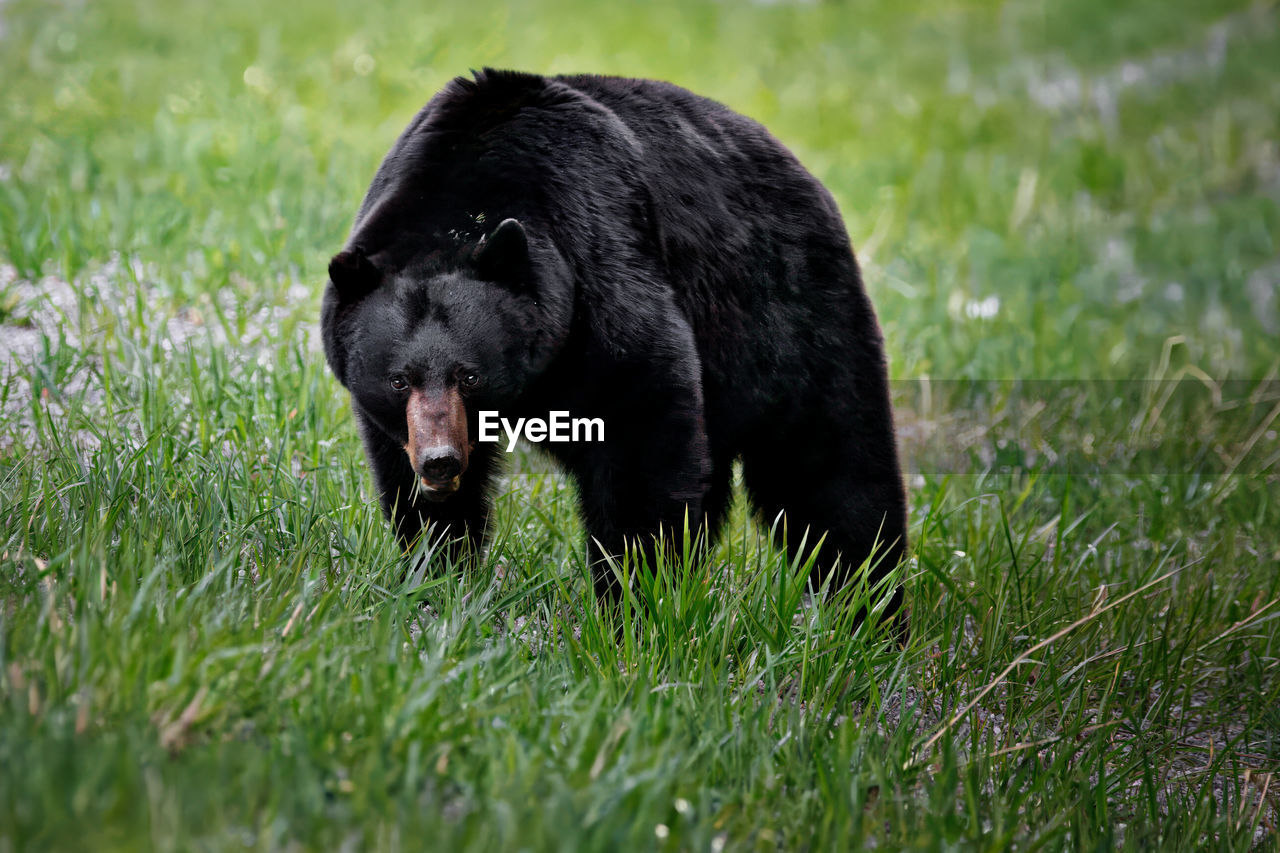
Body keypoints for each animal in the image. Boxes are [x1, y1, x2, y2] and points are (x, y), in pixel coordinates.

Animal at [321, 69, 908, 628]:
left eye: (470, 375)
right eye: (399, 379)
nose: (440, 462)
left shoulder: (599, 278)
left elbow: (639, 435)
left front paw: (634, 602)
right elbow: (409, 490)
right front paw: (437, 578)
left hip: (789, 318)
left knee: (833, 468)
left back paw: (869, 611)